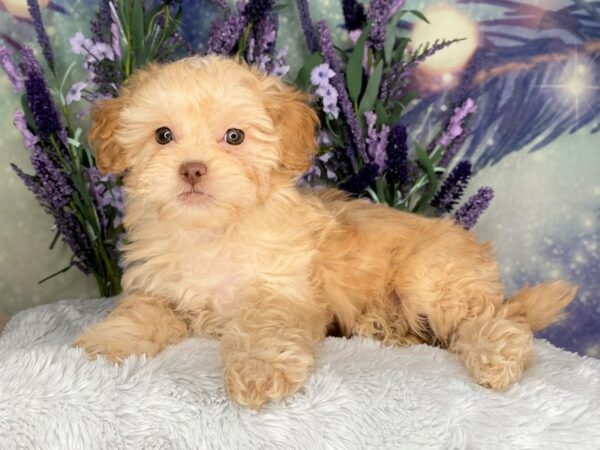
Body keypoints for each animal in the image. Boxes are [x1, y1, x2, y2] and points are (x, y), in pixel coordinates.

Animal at [75, 55, 576, 408]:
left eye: (235, 137)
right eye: (163, 135)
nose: (192, 169)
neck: (212, 231)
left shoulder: (280, 291)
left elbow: (263, 327)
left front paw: (258, 372)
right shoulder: (157, 288)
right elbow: (140, 313)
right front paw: (105, 343)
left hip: (433, 278)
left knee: (493, 321)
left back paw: (495, 357)